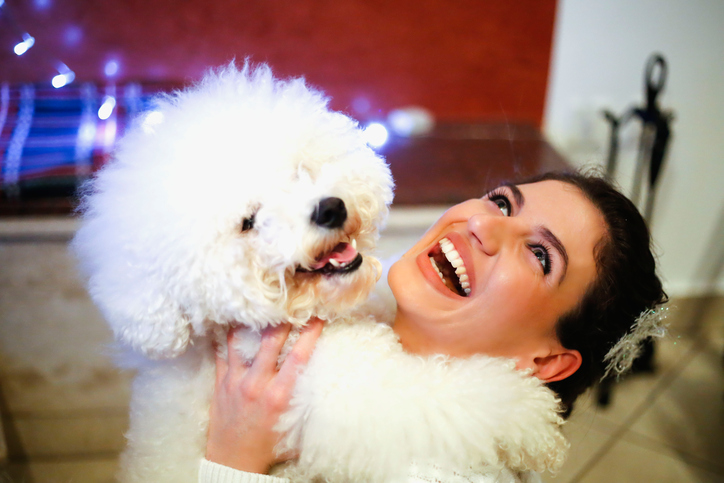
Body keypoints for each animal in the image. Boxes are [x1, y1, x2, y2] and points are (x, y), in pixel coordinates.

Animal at [75, 64, 572, 483]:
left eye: (300, 171)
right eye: (249, 221)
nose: (330, 208)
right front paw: (528, 411)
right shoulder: (351, 399)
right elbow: (452, 397)